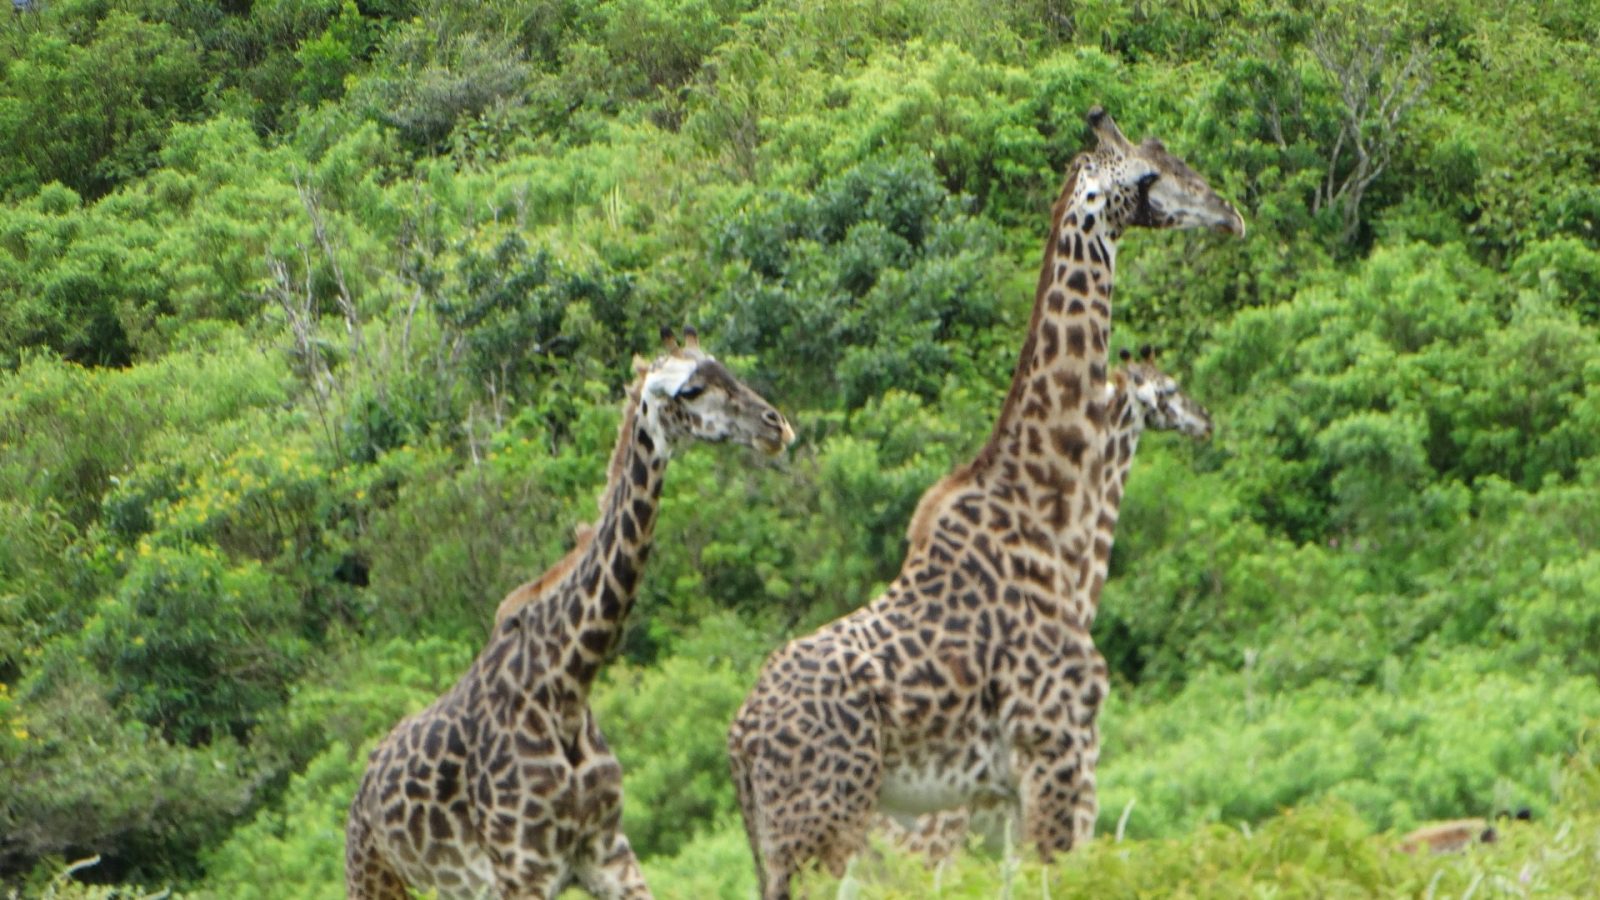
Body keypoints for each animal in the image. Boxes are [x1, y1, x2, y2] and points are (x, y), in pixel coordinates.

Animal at [346, 328, 795, 900]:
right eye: (691, 390)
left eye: (727, 369)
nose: (775, 426)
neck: (567, 686)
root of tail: (362, 791)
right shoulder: (523, 871)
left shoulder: (608, 853)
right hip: (373, 875)